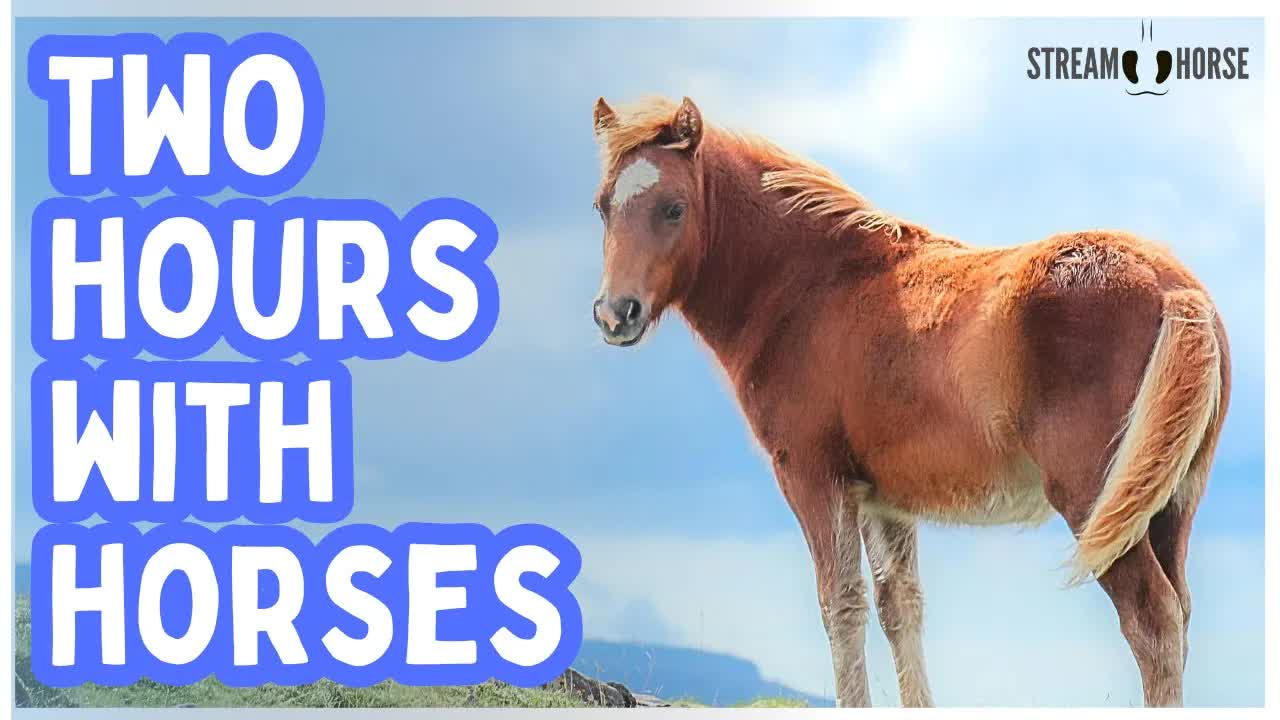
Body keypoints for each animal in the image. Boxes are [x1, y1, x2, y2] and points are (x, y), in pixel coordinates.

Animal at [587, 95, 1230, 708]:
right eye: (601, 205)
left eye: (674, 207)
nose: (616, 314)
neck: (811, 289)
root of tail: (1175, 288)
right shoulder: (884, 500)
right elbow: (901, 607)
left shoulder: (813, 478)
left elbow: (841, 605)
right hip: (1166, 504)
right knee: (1179, 611)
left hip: (1095, 499)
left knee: (1152, 620)